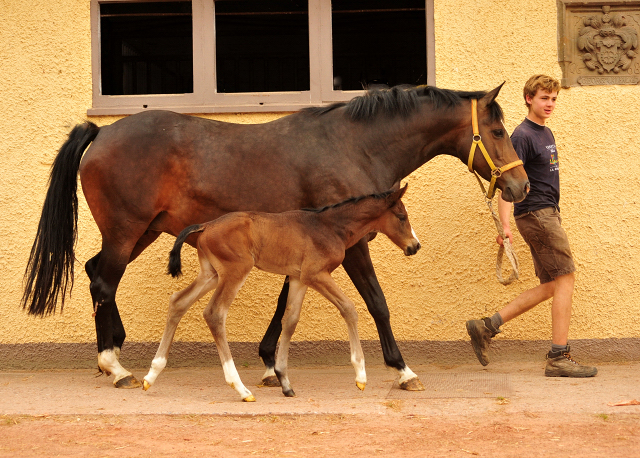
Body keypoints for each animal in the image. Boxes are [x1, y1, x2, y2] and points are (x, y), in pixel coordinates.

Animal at [142, 185, 418, 400]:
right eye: (401, 216)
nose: (414, 246)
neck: (329, 226)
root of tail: (205, 225)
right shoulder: (316, 274)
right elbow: (349, 308)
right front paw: (360, 375)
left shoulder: (298, 278)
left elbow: (290, 321)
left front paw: (284, 381)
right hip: (234, 271)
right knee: (215, 313)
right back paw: (240, 388)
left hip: (211, 274)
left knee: (178, 301)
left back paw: (151, 374)